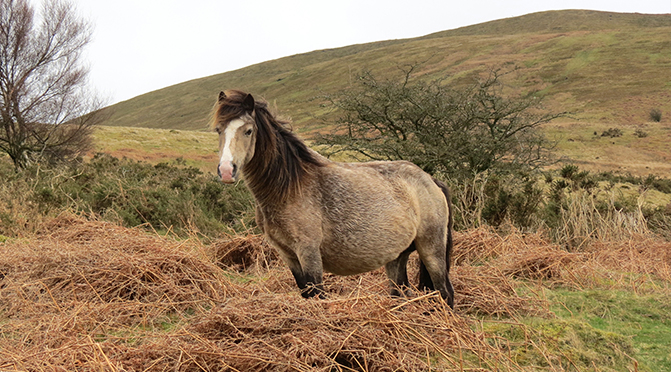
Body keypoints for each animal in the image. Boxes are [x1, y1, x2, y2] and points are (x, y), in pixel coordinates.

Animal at [211, 90, 456, 308]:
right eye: (218, 130)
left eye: (248, 131)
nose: (226, 171)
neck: (289, 188)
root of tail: (430, 180)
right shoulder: (289, 255)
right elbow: (307, 294)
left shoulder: (309, 253)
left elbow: (318, 296)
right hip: (397, 256)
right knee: (400, 294)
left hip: (431, 249)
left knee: (445, 292)